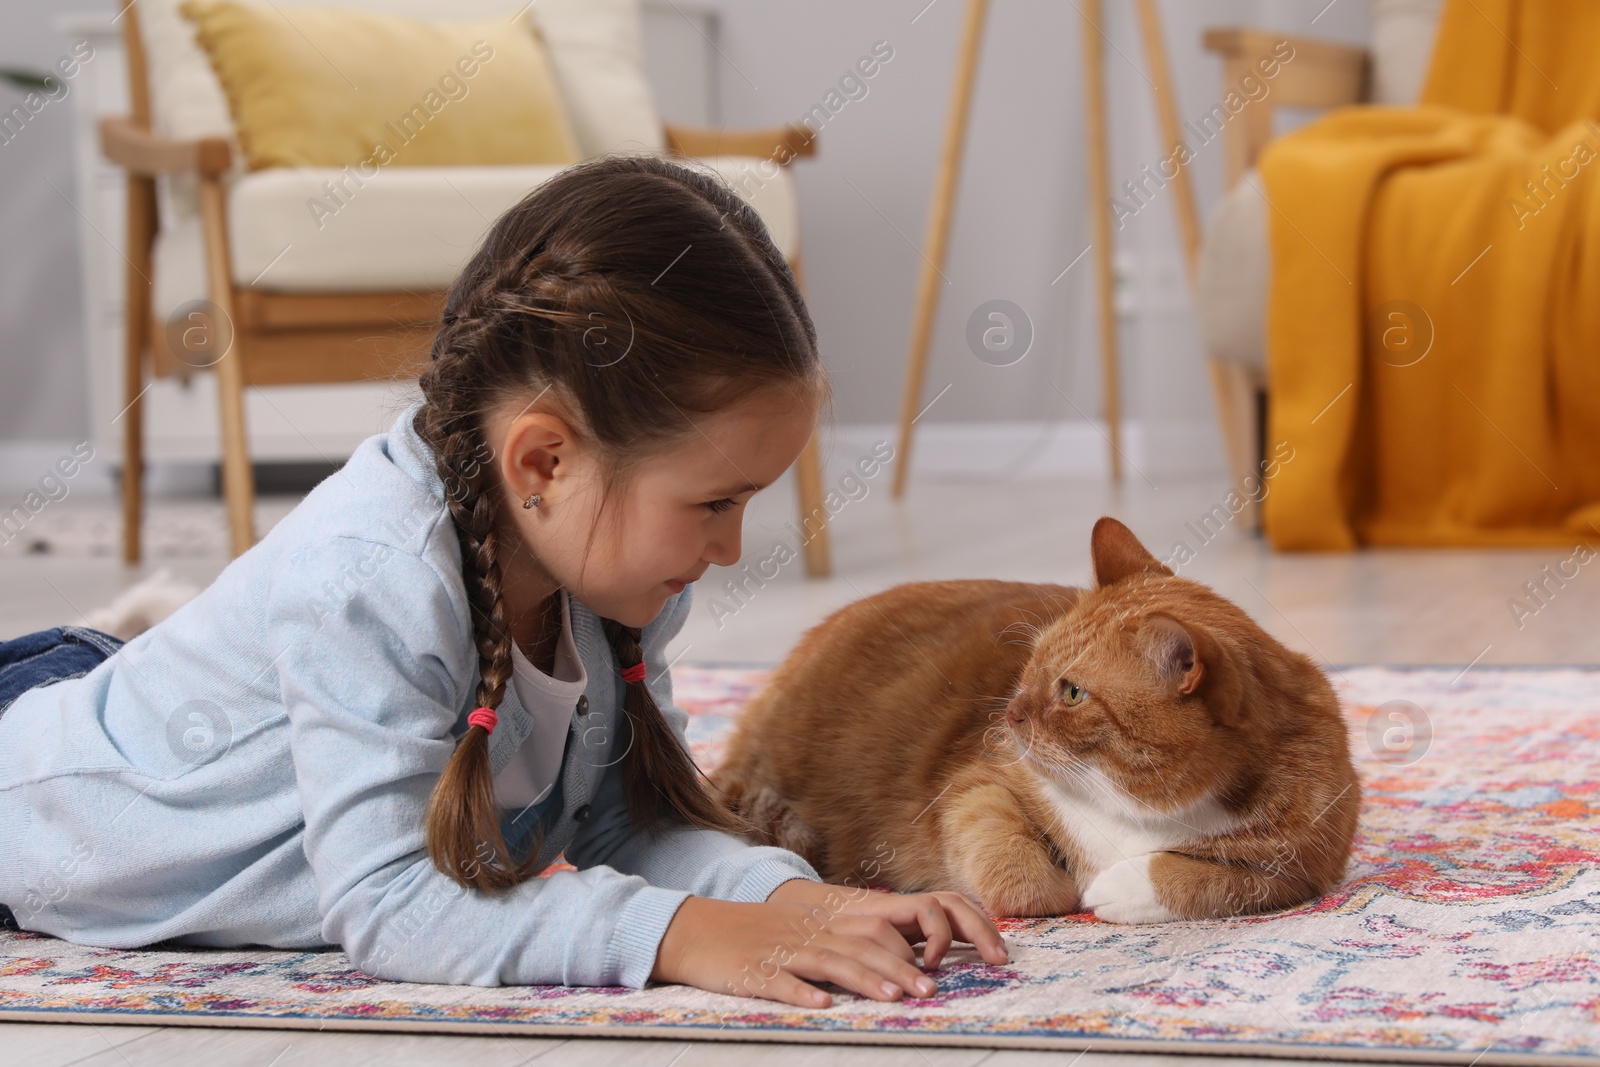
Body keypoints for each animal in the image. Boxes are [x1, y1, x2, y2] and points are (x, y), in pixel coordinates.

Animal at [720, 521, 1356, 921]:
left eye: (1072, 693)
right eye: (1030, 666)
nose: (1010, 712)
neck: (1141, 809)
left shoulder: (1304, 869)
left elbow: (1219, 880)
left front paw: (1118, 886)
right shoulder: (980, 782)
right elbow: (1015, 866)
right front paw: (1060, 889)